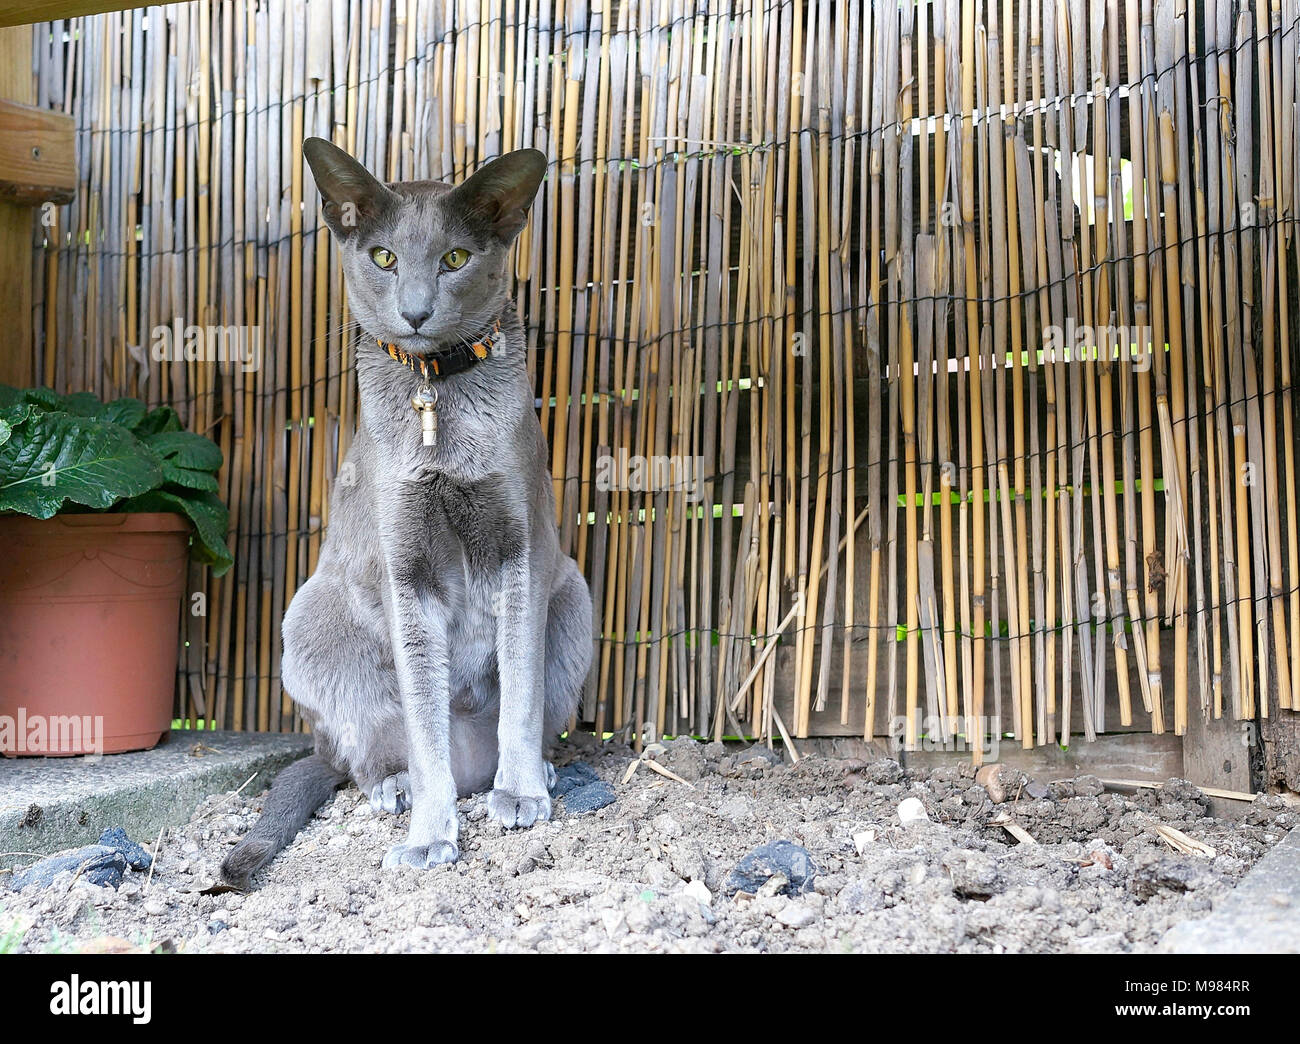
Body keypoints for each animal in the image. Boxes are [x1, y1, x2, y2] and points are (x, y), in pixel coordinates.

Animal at [220, 136, 592, 889]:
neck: (435, 396)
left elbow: (521, 686)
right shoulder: (406, 567)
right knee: (362, 755)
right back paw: (395, 788)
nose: (416, 311)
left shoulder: (522, 550)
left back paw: (531, 773)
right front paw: (429, 837)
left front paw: (520, 797)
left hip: (575, 596)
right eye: (384, 257)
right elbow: (423, 718)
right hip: (309, 620)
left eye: (455, 257)